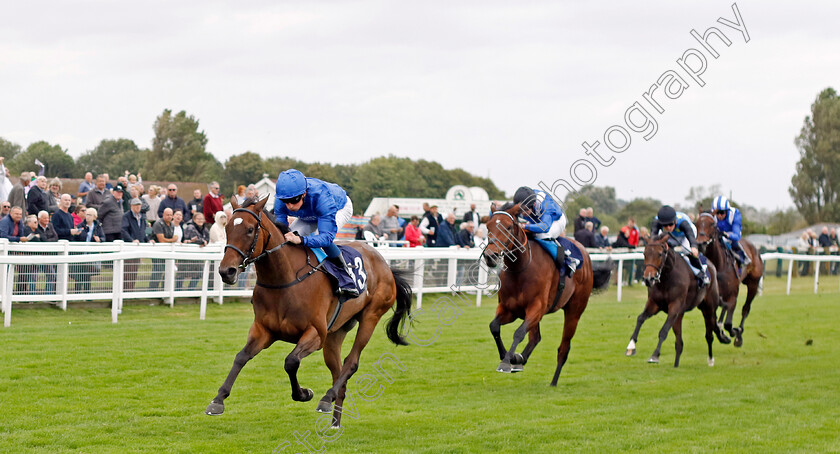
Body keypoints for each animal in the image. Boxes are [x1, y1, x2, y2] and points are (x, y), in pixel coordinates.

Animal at [205, 196, 412, 430]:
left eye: (250, 229)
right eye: (227, 228)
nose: (226, 271)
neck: (284, 280)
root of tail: (385, 265)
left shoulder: (315, 333)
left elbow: (290, 361)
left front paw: (304, 393)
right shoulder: (263, 330)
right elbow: (241, 357)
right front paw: (218, 400)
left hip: (370, 317)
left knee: (351, 362)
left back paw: (326, 398)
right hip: (335, 333)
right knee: (338, 372)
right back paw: (334, 421)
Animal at [480, 206, 612, 386]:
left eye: (507, 227)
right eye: (488, 227)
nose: (490, 256)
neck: (521, 268)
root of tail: (585, 253)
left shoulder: (537, 307)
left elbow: (518, 333)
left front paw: (507, 361)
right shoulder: (509, 309)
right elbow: (494, 326)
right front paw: (508, 356)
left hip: (574, 311)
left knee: (563, 348)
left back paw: (553, 382)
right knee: (535, 337)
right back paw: (520, 359)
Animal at [624, 232, 728, 368]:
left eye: (660, 254)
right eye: (645, 254)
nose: (648, 279)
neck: (667, 277)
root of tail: (711, 266)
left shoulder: (675, 306)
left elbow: (663, 331)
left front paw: (654, 356)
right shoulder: (654, 303)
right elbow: (640, 318)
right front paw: (631, 346)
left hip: (708, 308)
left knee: (709, 334)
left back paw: (710, 360)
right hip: (681, 315)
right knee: (679, 342)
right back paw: (676, 364)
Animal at [692, 213, 764, 348]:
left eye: (712, 224)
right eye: (696, 224)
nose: (700, 244)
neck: (718, 265)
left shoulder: (733, 297)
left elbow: (728, 323)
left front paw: (734, 332)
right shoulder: (710, 300)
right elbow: (714, 322)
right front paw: (722, 336)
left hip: (753, 283)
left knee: (745, 309)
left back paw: (739, 335)